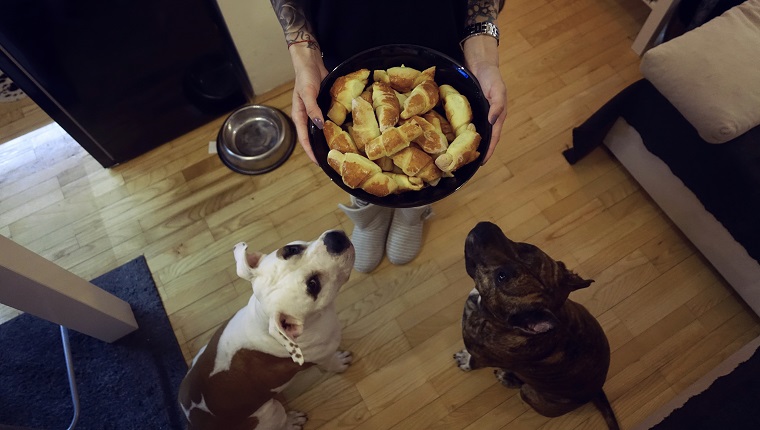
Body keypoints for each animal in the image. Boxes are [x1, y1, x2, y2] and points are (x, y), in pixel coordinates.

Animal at [179, 230, 356, 430]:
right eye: (313, 285)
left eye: (291, 249)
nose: (335, 240)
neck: (263, 319)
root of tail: (194, 423)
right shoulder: (323, 356)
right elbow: (330, 363)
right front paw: (339, 363)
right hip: (270, 412)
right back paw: (292, 421)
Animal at [454, 222, 620, 430]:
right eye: (526, 247)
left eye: (501, 276)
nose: (484, 229)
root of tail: (597, 391)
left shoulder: (482, 357)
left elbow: (473, 361)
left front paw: (465, 361)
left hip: (529, 393)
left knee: (522, 386)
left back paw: (507, 378)